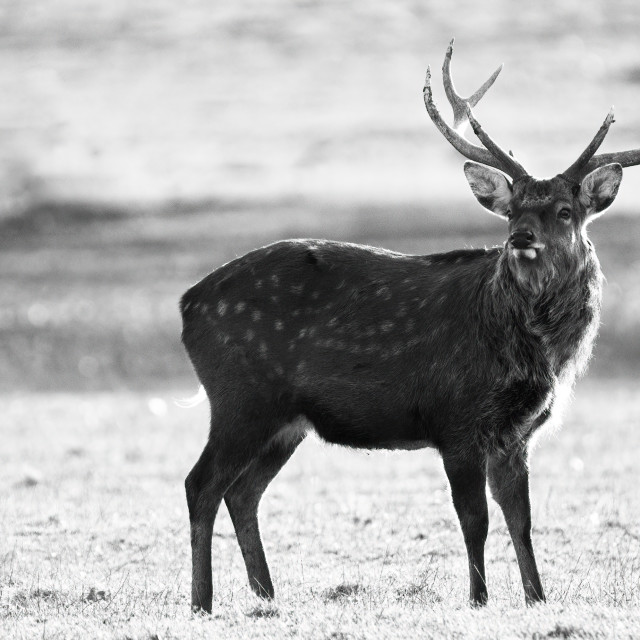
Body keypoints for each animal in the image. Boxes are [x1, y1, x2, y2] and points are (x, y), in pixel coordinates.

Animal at [179, 40, 640, 608]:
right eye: (513, 210)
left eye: (564, 211)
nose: (520, 238)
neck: (533, 356)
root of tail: (186, 305)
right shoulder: (456, 420)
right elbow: (474, 520)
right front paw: (478, 599)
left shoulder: (515, 436)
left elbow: (522, 520)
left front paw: (537, 599)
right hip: (241, 398)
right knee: (201, 485)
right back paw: (203, 602)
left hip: (285, 420)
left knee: (243, 492)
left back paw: (266, 596)